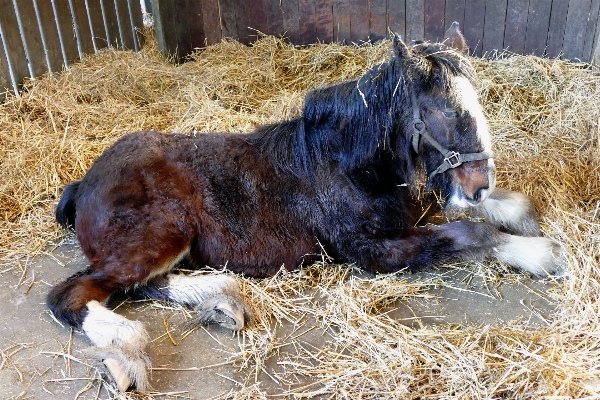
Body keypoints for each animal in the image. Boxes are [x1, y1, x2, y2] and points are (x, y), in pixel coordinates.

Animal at [45, 23, 564, 392]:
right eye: (447, 112)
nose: (477, 184)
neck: (347, 164)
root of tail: (82, 182)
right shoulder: (373, 250)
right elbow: (471, 233)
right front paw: (542, 254)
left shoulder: (417, 212)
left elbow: (492, 210)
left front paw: (522, 219)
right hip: (162, 232)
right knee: (75, 293)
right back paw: (125, 355)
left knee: (143, 285)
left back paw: (221, 303)